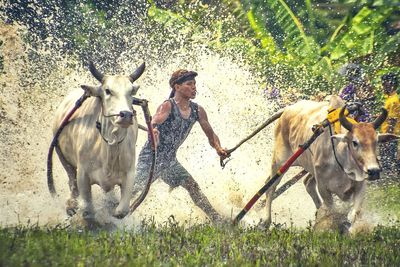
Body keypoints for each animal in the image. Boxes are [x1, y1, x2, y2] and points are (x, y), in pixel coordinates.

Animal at [52, 61, 145, 221]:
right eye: (107, 91)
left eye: (131, 92)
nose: (126, 115)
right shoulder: (83, 175)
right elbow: (87, 209)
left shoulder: (129, 173)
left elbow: (121, 211)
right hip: (62, 156)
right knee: (72, 183)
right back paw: (71, 205)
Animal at [264, 97, 398, 231]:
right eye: (355, 142)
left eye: (376, 141)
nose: (374, 171)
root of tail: (287, 109)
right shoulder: (323, 188)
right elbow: (331, 211)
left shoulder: (360, 185)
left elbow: (354, 213)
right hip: (279, 161)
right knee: (270, 186)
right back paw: (265, 222)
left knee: (307, 182)